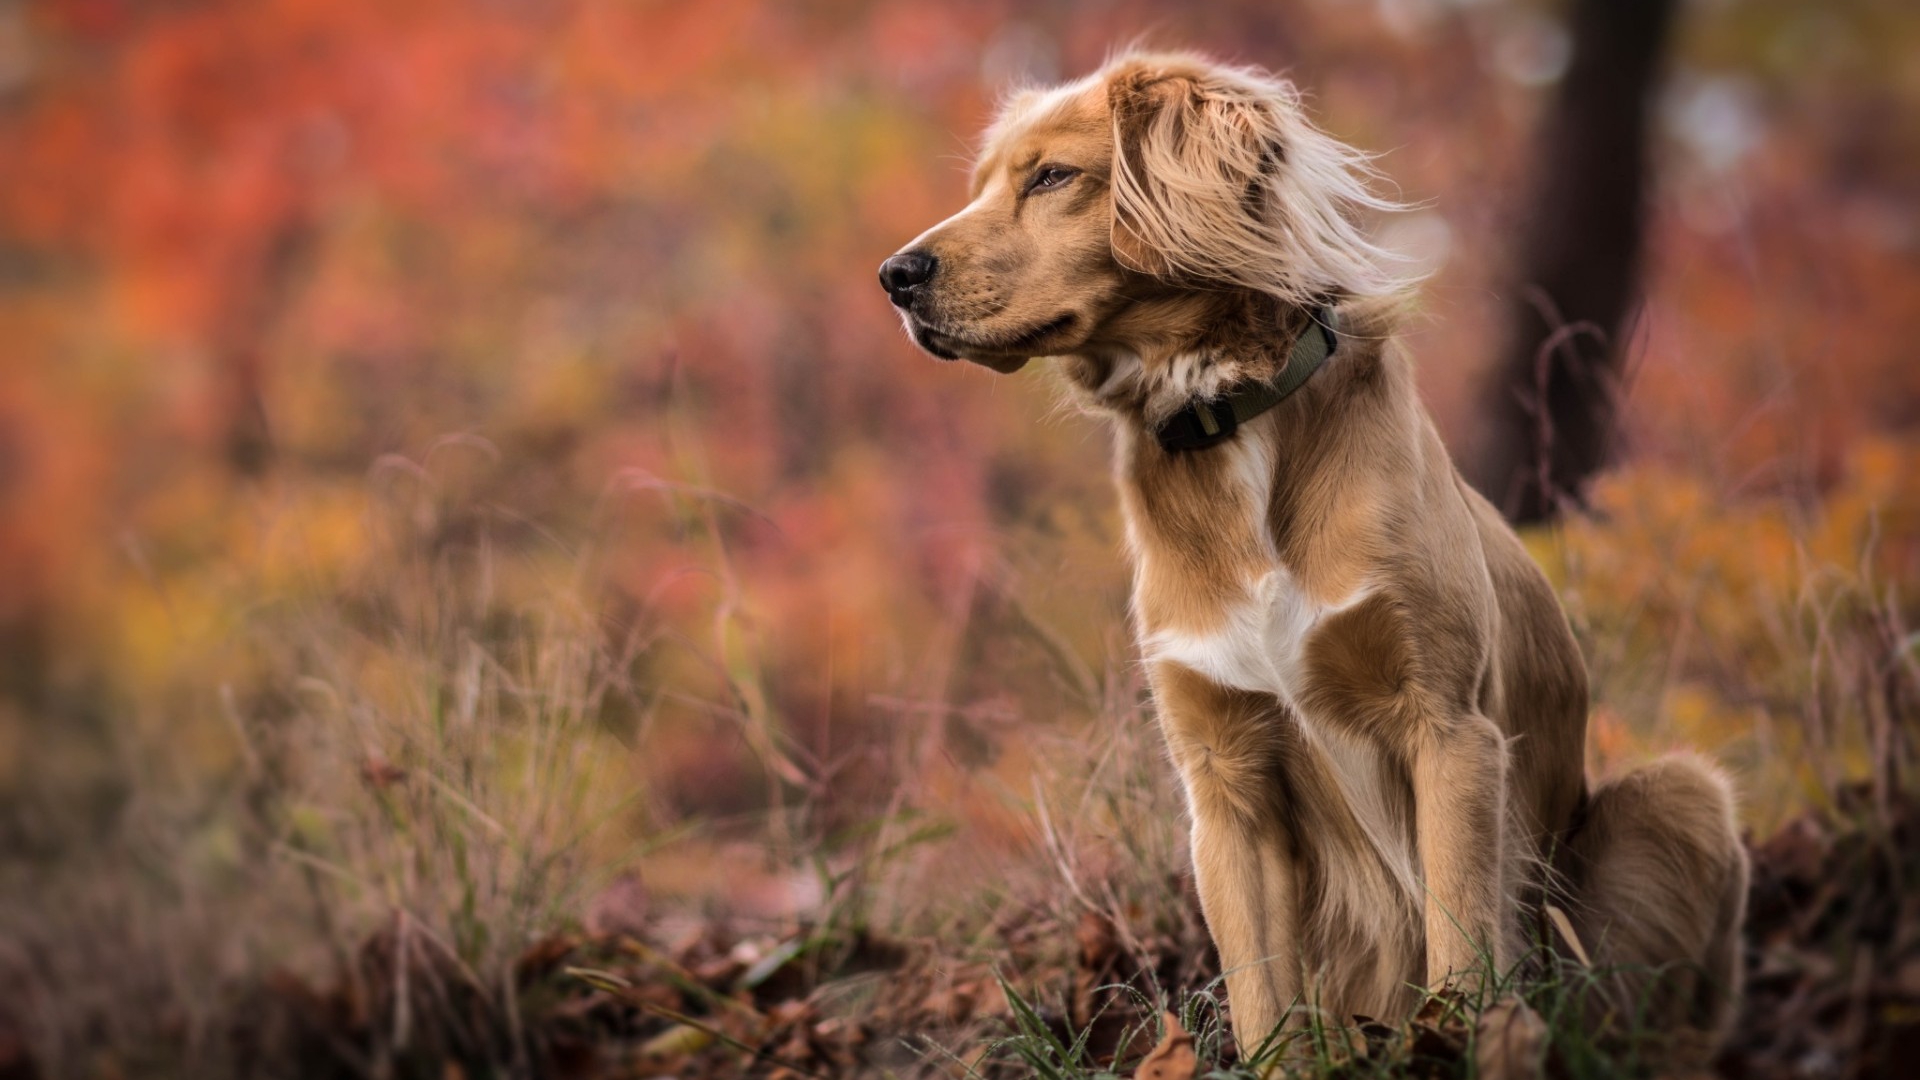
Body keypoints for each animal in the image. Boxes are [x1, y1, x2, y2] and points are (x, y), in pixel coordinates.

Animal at [879, 52, 1751, 1053]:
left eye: (1052, 177)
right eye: (980, 186)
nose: (895, 275)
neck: (1226, 420)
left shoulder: (1449, 729)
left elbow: (1460, 950)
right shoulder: (1224, 777)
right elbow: (1266, 1004)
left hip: (1679, 795)